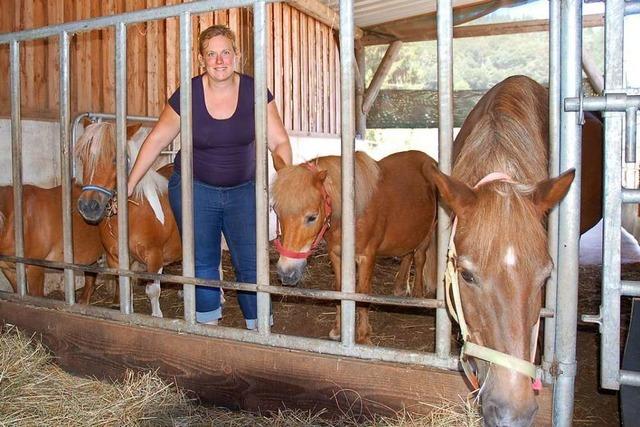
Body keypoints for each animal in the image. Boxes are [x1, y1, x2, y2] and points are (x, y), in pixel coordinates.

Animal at [74, 122, 182, 316]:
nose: (88, 206)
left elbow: (153, 291)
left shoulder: (154, 257)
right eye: (82, 157)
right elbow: (124, 288)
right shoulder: (116, 258)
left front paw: (156, 316)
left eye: (116, 159)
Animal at [270, 150, 440, 344]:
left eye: (312, 217)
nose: (286, 273)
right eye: (277, 211)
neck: (351, 214)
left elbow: (362, 292)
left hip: (427, 232)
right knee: (407, 253)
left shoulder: (367, 256)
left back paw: (418, 296)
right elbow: (339, 289)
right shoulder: (336, 254)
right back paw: (399, 288)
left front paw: (363, 335)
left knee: (419, 258)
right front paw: (338, 329)